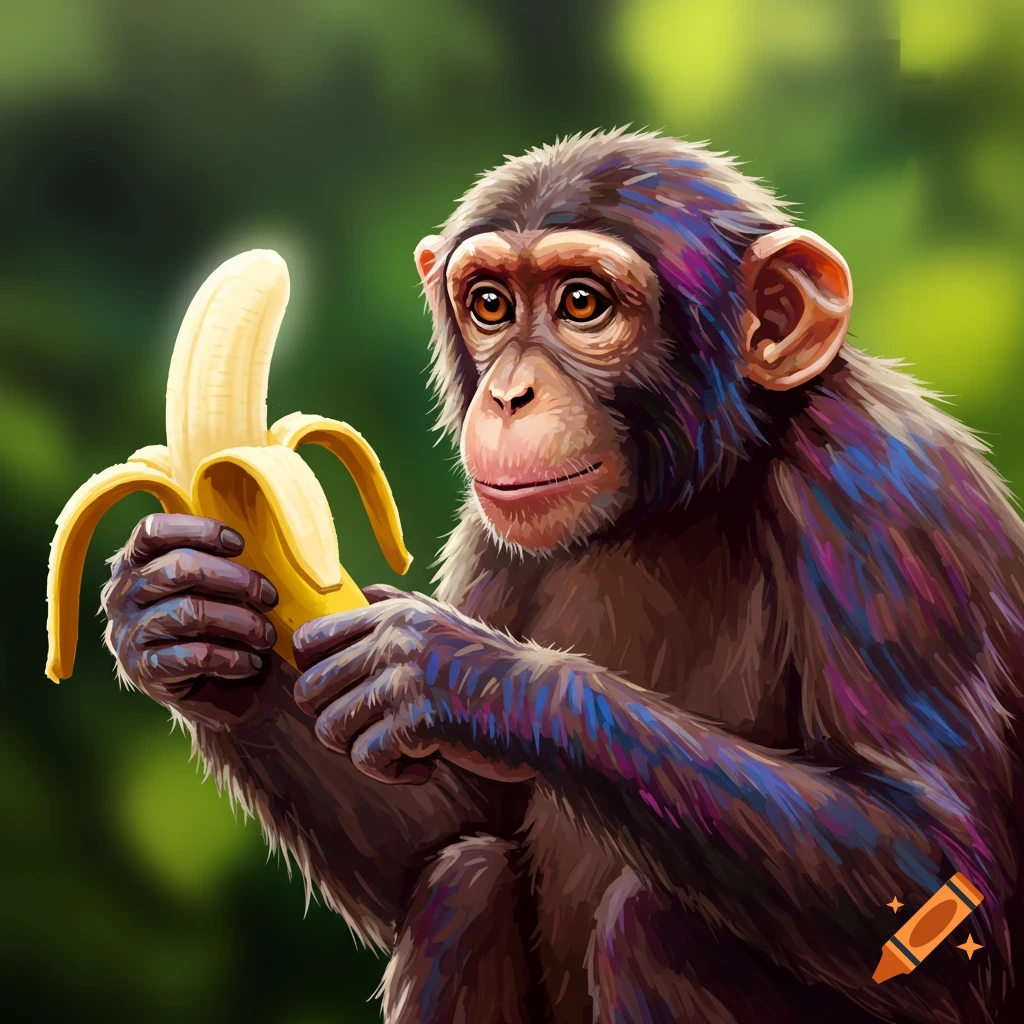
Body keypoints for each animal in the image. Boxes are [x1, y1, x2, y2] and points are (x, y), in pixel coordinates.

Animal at [100, 128, 1024, 1024]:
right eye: (491, 305)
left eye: (583, 303)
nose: (511, 394)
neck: (675, 500)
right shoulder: (491, 535)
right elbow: (442, 828)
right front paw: (181, 610)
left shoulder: (884, 495)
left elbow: (937, 867)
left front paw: (463, 675)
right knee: (461, 881)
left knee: (655, 924)